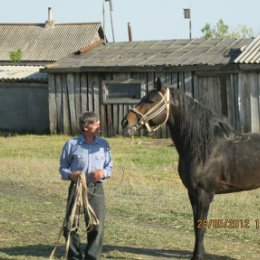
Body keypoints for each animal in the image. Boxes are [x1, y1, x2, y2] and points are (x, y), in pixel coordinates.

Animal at [121, 78, 260, 258]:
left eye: (150, 100)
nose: (126, 122)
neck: (204, 147)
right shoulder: (192, 193)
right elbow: (196, 225)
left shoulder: (203, 194)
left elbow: (201, 227)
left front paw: (198, 256)